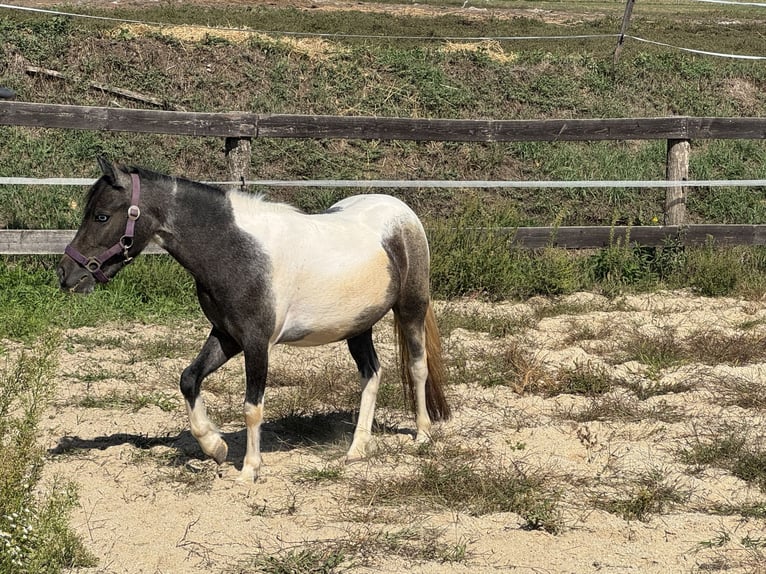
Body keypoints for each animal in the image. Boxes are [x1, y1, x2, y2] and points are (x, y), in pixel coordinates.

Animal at [57, 158, 450, 482]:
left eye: (102, 215)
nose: (66, 274)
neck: (236, 251)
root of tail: (402, 213)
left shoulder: (256, 343)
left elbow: (252, 407)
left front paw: (249, 469)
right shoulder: (226, 335)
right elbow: (189, 379)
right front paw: (215, 446)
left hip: (411, 308)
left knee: (417, 367)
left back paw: (422, 435)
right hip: (358, 326)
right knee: (372, 374)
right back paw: (356, 450)